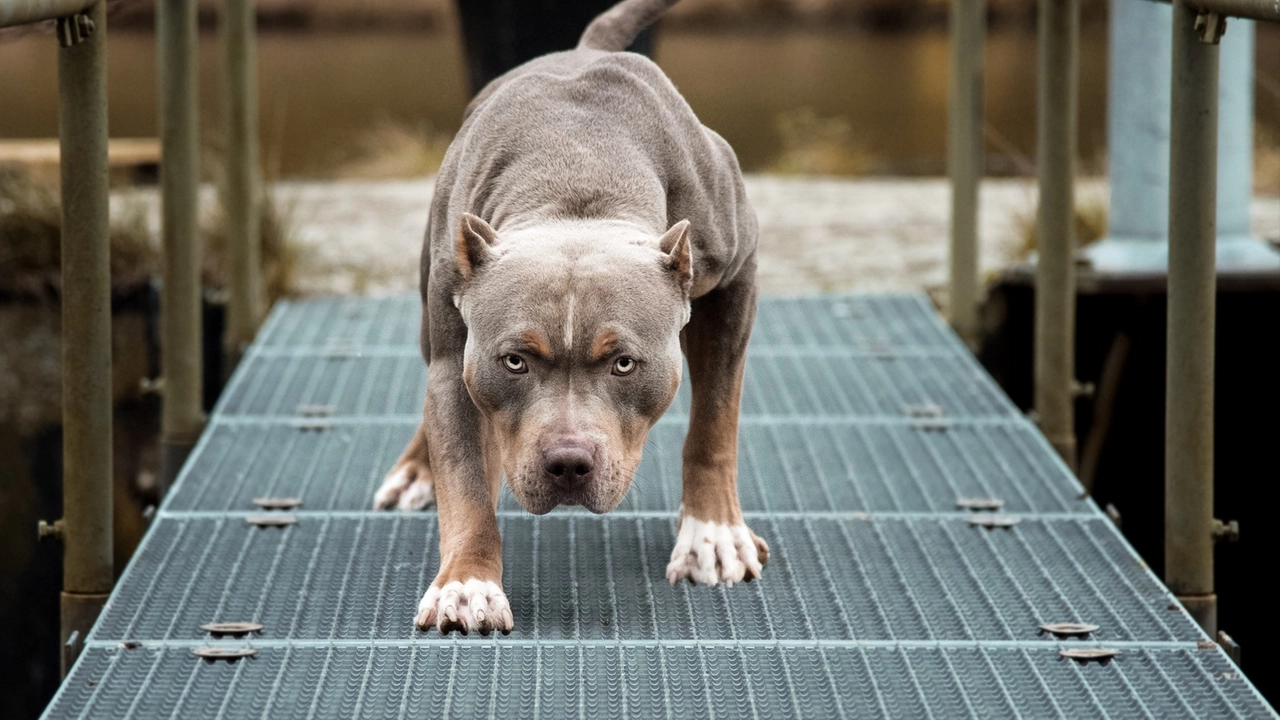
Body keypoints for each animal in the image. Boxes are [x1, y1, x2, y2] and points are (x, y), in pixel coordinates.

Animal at [373, 0, 768, 632]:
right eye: (514, 361)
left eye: (624, 364)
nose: (567, 464)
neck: (578, 178)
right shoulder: (458, 354)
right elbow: (464, 475)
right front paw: (467, 584)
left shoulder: (736, 280)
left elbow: (715, 419)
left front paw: (713, 535)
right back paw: (419, 470)